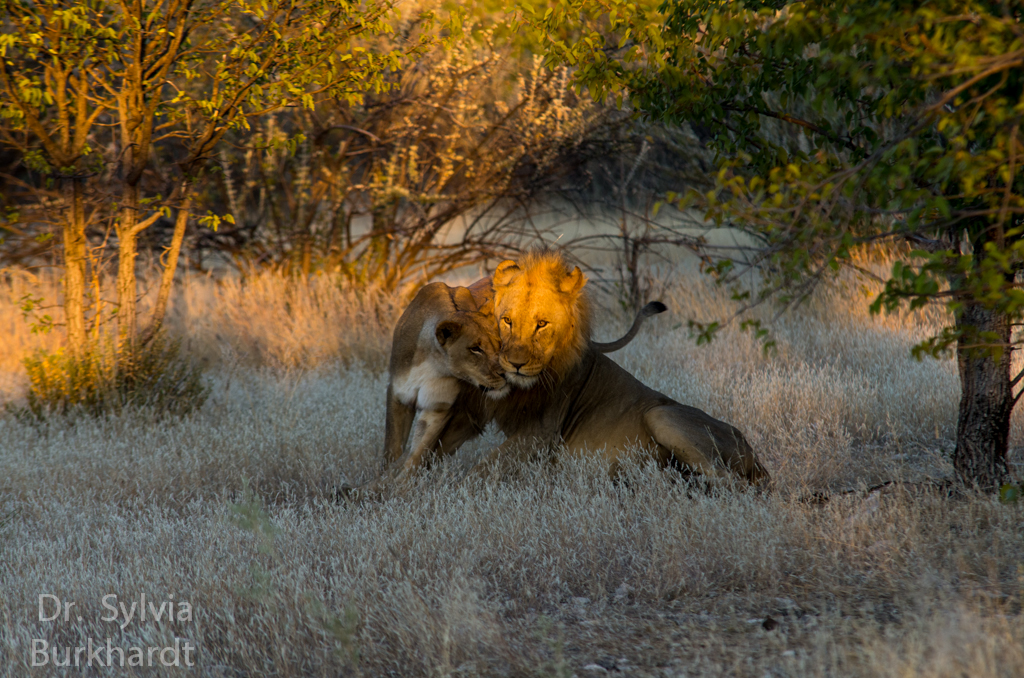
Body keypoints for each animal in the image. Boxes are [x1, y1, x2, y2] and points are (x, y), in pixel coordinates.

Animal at [479, 251, 770, 485]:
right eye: (507, 321)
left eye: (541, 324)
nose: (515, 364)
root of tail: (752, 454)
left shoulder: (540, 434)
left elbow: (480, 471)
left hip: (660, 415)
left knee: (730, 482)